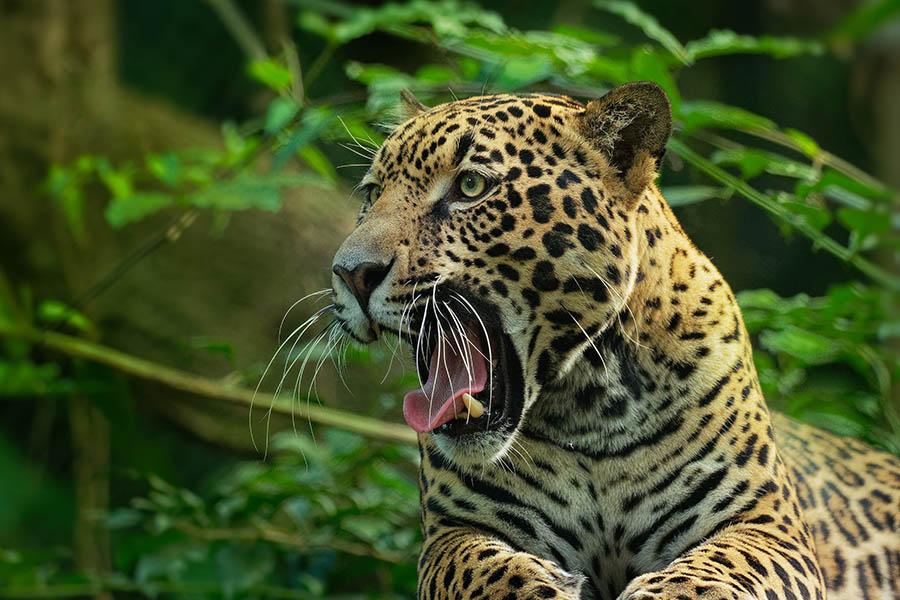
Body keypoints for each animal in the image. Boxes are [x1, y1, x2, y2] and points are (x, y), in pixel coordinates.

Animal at [328, 82, 900, 599]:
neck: (590, 406)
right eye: (372, 194)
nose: (350, 273)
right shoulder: (452, 533)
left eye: (470, 186)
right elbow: (483, 570)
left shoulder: (766, 523)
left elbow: (716, 571)